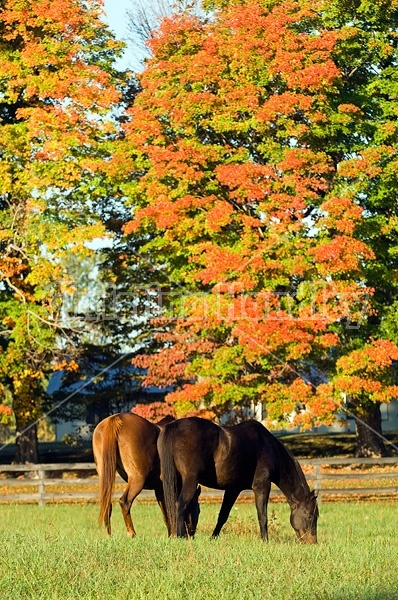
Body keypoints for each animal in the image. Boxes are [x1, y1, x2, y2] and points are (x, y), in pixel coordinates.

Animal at [157, 418, 318, 544]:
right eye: (310, 516)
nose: (312, 542)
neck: (267, 446)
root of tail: (174, 425)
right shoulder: (262, 486)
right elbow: (262, 515)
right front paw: (265, 540)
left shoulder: (233, 489)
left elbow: (223, 515)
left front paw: (213, 538)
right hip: (190, 480)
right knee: (180, 504)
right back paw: (180, 536)